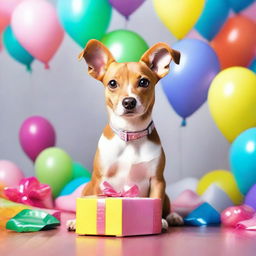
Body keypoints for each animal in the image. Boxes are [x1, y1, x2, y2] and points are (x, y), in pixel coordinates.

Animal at [67, 39, 184, 231]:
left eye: (144, 82)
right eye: (112, 83)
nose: (129, 102)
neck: (130, 134)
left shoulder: (157, 180)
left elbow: (157, 200)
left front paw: (159, 221)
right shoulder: (100, 180)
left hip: (166, 194)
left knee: (166, 205)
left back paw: (173, 216)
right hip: (88, 187)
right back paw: (75, 221)